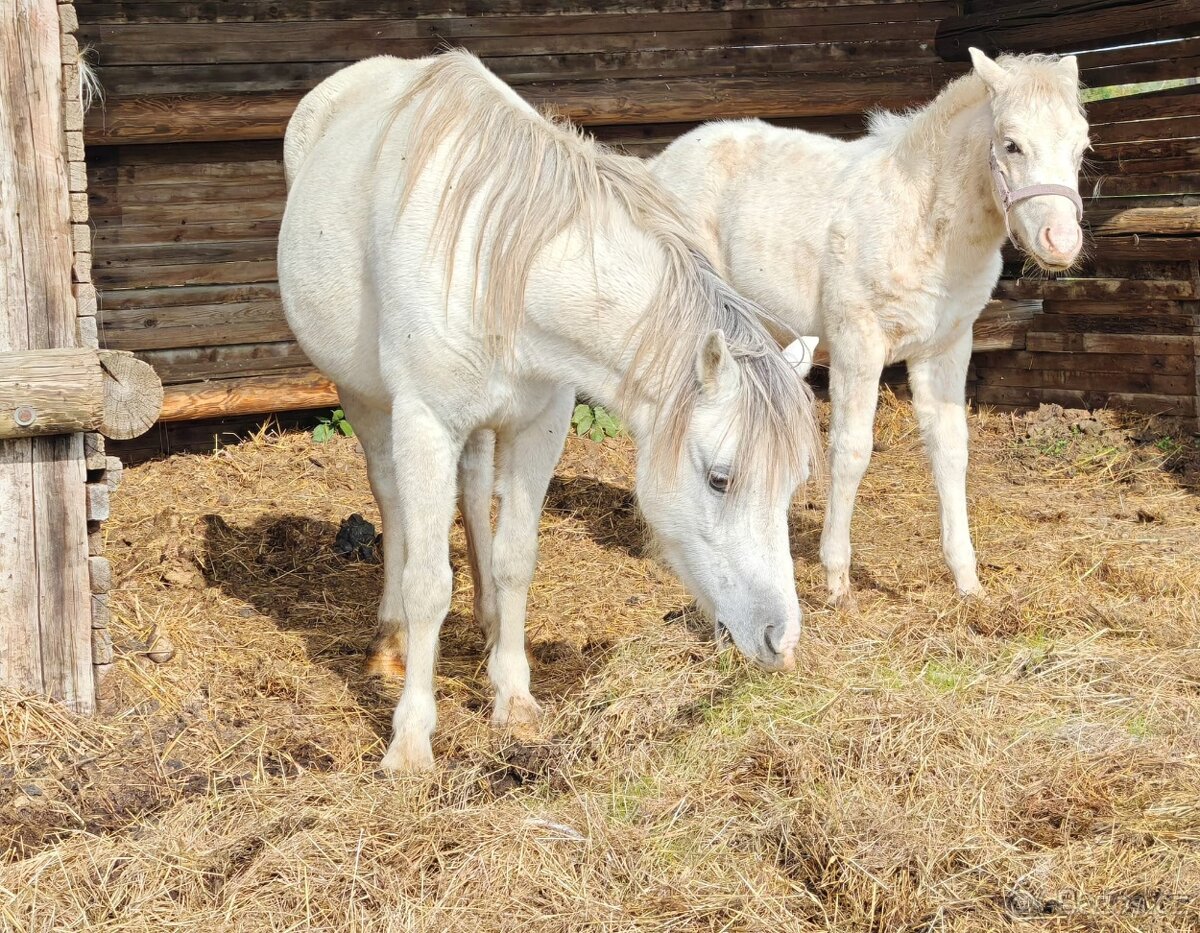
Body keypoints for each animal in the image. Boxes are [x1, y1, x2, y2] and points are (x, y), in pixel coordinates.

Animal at [278, 51, 821, 772]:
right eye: (720, 478)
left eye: (792, 486)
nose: (780, 639)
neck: (500, 267)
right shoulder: (425, 421)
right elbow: (428, 581)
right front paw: (411, 741)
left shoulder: (540, 424)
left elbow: (516, 559)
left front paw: (513, 697)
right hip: (364, 398)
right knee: (392, 499)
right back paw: (390, 643)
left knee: (473, 491)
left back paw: (483, 620)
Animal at [650, 49, 1089, 606]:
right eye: (1011, 144)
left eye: (1081, 148)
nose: (1061, 242)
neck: (924, 223)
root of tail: (659, 163)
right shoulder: (856, 341)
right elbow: (851, 450)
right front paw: (836, 579)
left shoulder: (947, 346)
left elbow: (951, 450)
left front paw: (967, 581)